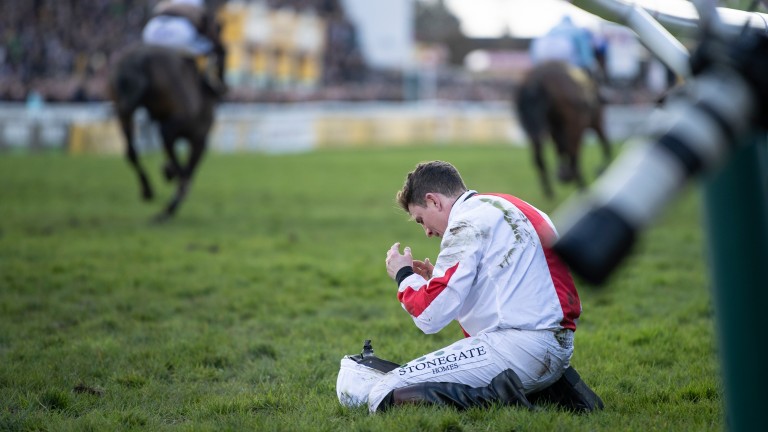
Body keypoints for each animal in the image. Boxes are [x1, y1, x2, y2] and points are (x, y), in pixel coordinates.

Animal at [106, 44, 224, 221]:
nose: (222, 87)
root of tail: (140, 56)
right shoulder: (199, 138)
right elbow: (187, 169)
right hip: (177, 122)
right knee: (165, 143)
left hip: (123, 110)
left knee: (131, 151)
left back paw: (149, 190)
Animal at [516, 60, 612, 199]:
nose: (606, 97)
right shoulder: (590, 122)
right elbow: (599, 144)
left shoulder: (555, 129)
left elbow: (561, 149)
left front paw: (563, 173)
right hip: (577, 125)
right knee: (575, 151)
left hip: (536, 129)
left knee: (539, 157)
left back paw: (550, 189)